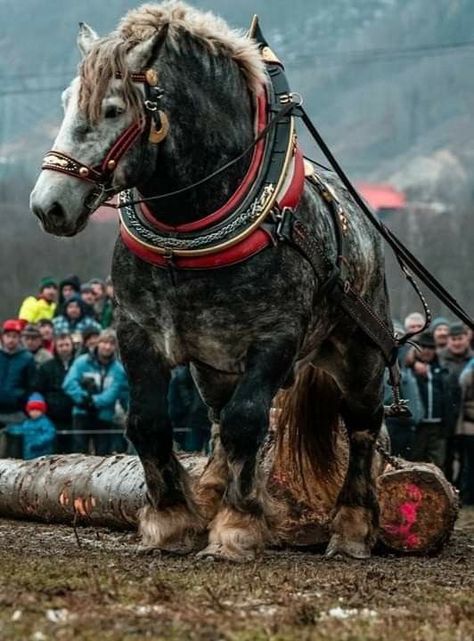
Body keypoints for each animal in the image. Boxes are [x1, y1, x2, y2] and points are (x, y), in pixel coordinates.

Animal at [29, 1, 392, 560]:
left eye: (113, 110)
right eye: (68, 100)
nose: (49, 204)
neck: (186, 233)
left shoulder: (275, 338)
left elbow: (248, 422)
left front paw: (237, 527)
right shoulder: (137, 332)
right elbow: (148, 422)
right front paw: (171, 519)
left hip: (360, 352)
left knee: (361, 426)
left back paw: (351, 527)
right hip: (213, 364)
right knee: (219, 417)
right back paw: (215, 488)